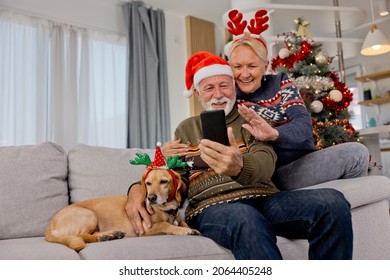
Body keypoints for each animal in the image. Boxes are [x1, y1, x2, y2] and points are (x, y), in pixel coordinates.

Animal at [44, 168, 200, 252]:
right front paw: (184, 230)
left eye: (164, 181)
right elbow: (166, 225)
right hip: (89, 214)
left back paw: (109, 235)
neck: (166, 210)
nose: (151, 198)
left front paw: (189, 227)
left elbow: (182, 222)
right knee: (82, 236)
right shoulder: (146, 228)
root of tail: (49, 226)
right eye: (148, 183)